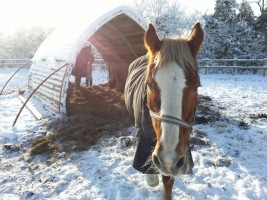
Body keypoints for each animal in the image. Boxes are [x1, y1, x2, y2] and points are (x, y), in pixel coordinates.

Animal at [124, 22, 204, 199]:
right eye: (149, 85)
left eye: (196, 87)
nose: (168, 159)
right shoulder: (146, 139)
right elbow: (151, 176)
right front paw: (152, 178)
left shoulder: (179, 152)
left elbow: (168, 181)